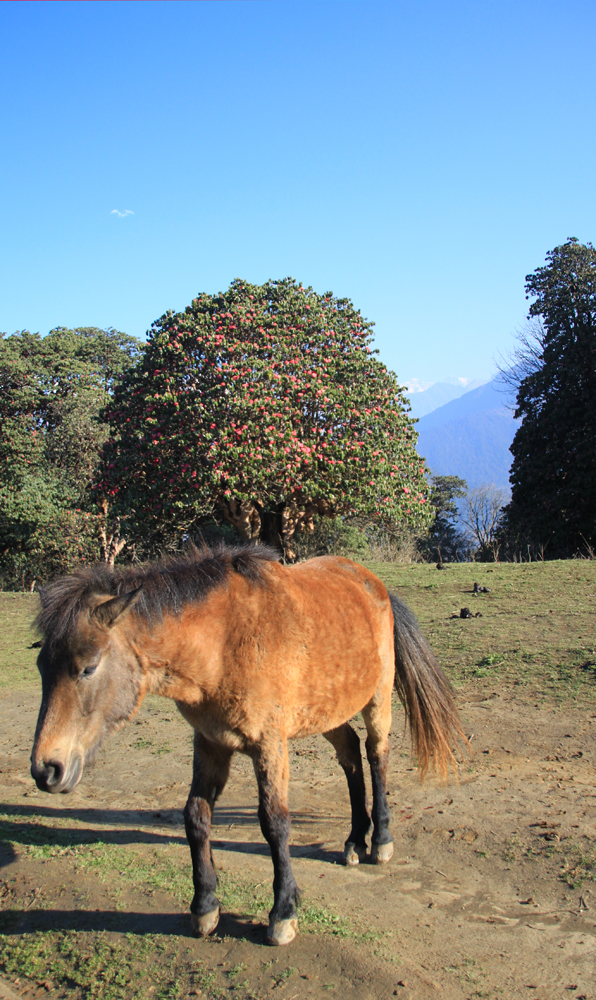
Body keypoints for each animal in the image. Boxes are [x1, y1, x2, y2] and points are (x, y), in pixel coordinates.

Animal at [30, 544, 465, 946]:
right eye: (42, 667)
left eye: (88, 667)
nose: (46, 769)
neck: (223, 643)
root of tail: (375, 585)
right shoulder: (210, 743)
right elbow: (196, 817)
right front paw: (205, 906)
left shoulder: (270, 746)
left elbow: (275, 823)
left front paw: (283, 913)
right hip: (328, 710)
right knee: (351, 756)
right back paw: (356, 839)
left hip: (377, 698)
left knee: (377, 756)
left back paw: (381, 841)